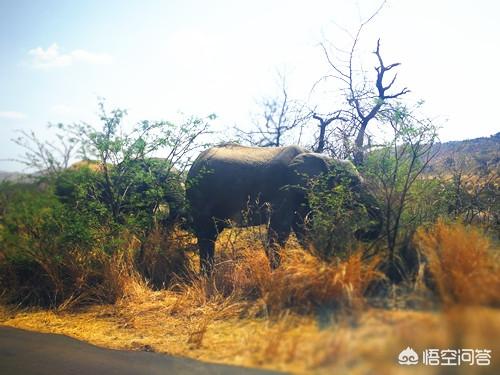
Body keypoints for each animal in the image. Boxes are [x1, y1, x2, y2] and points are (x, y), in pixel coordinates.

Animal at [186, 144, 380, 274]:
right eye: (353, 184)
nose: (358, 232)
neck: (322, 157)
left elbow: (304, 230)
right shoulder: (285, 190)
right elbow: (280, 232)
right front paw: (278, 275)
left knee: (210, 235)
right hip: (200, 196)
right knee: (206, 235)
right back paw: (207, 277)